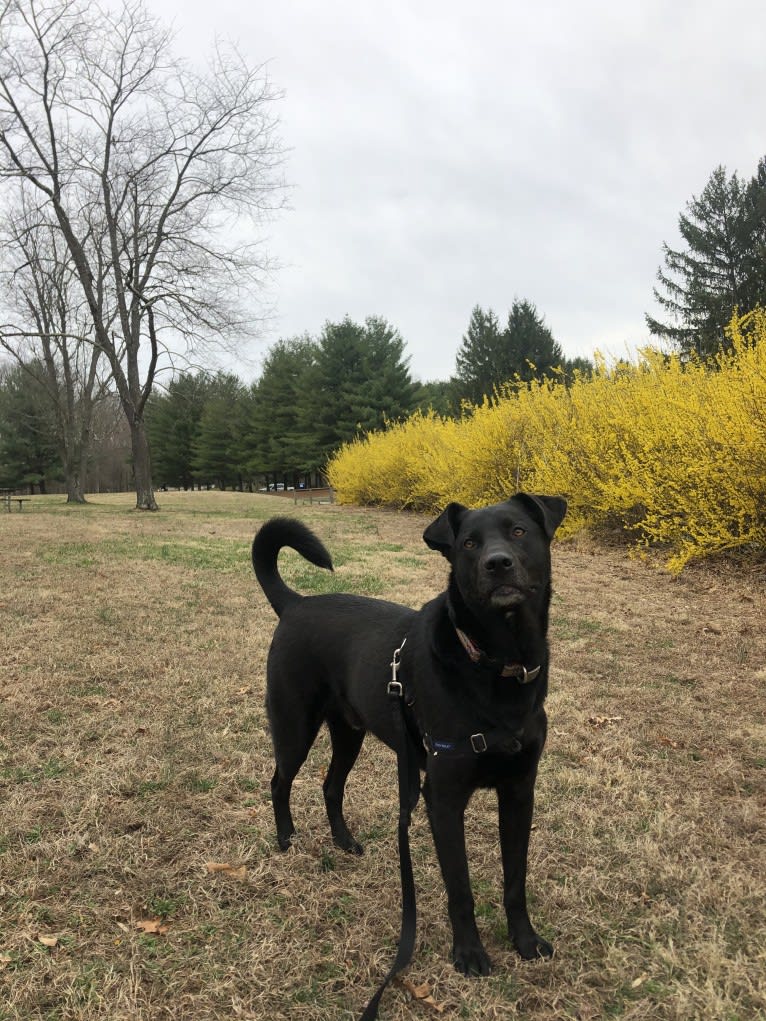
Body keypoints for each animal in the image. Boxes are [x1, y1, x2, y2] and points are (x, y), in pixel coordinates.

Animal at [255, 492, 567, 971]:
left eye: (518, 531)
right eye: (470, 543)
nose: (498, 563)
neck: (497, 666)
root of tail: (295, 604)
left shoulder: (519, 791)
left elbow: (515, 880)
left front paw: (525, 941)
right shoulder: (444, 799)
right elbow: (460, 887)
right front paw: (469, 953)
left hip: (349, 732)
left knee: (331, 785)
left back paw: (344, 841)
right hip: (294, 726)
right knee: (279, 781)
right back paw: (287, 838)